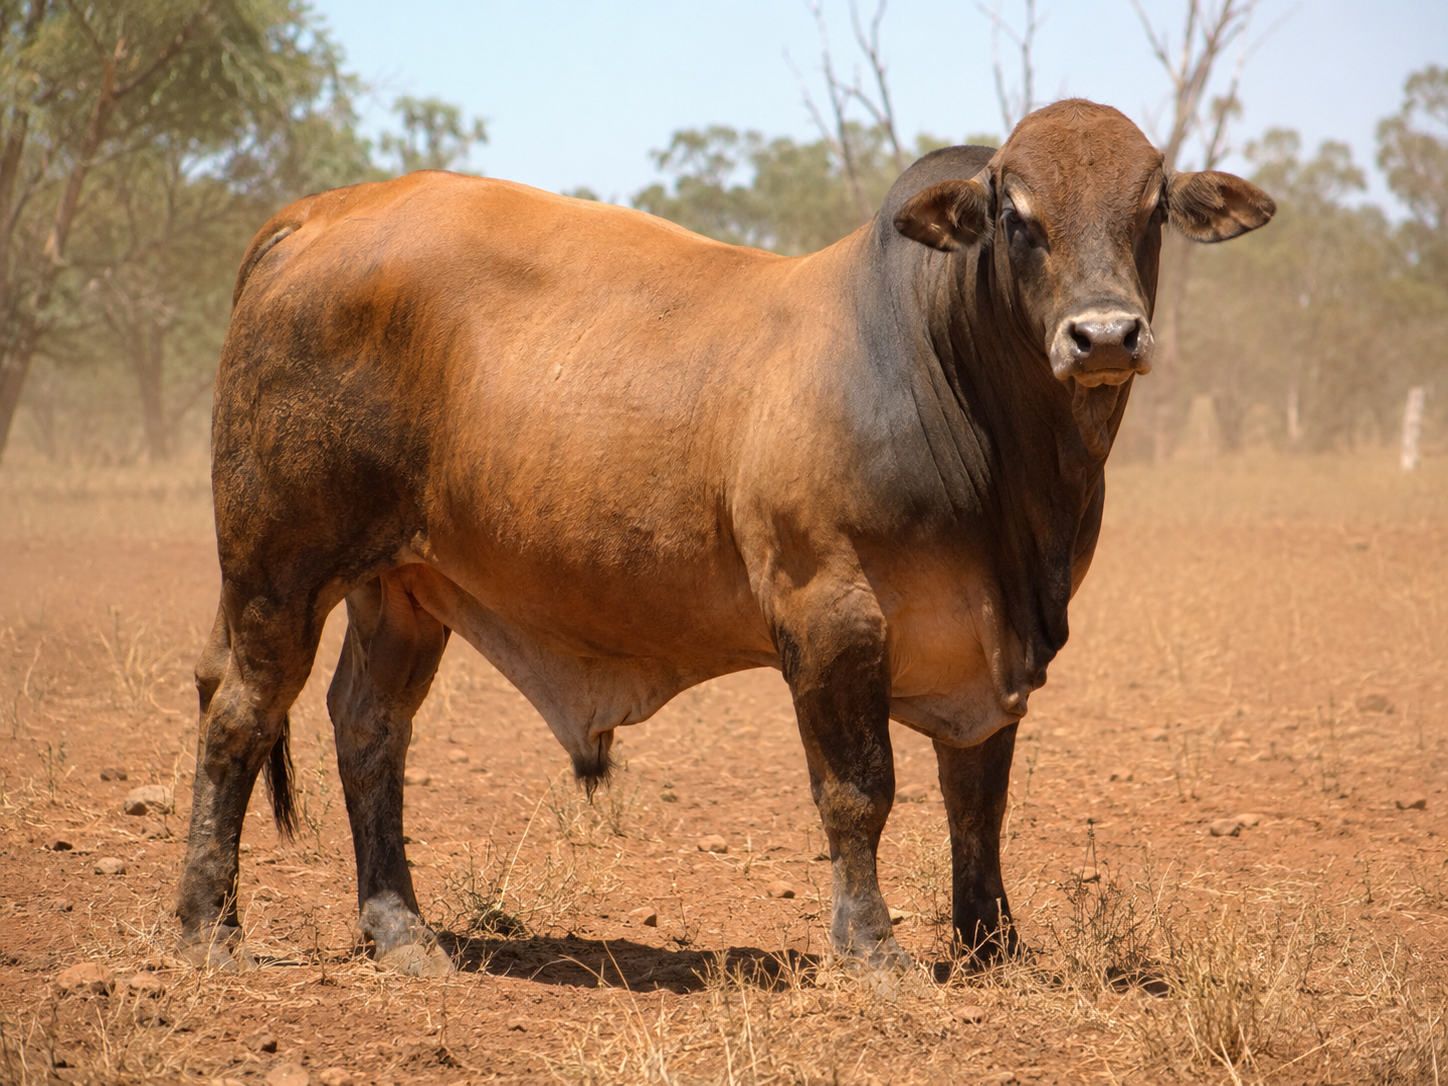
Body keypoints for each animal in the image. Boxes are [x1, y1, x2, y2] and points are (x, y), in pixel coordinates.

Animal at [177, 99, 1273, 975]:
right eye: (1016, 216)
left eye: (1151, 210)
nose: (1104, 337)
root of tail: (319, 214)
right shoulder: (830, 615)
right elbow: (858, 792)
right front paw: (872, 951)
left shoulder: (993, 653)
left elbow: (978, 802)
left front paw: (991, 947)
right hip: (276, 567)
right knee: (238, 714)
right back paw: (209, 931)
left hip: (402, 586)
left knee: (368, 730)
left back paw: (400, 932)